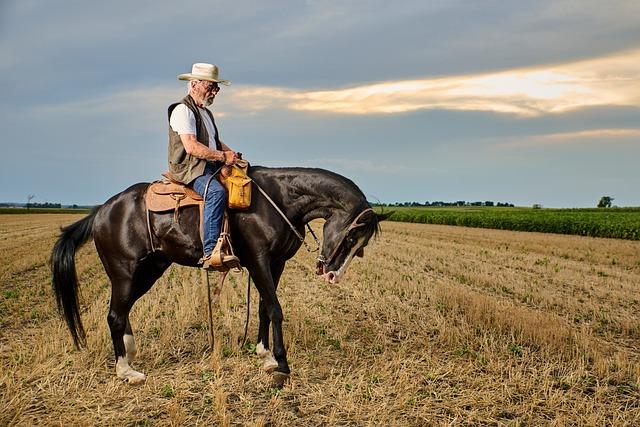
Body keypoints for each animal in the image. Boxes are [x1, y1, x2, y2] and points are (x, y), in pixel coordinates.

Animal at [50, 166, 388, 384]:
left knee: (123, 310)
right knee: (114, 315)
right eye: (350, 236)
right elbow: (276, 308)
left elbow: (264, 307)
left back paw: (130, 354)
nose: (332, 275)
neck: (279, 200)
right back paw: (125, 371)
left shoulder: (276, 263)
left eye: (361, 246)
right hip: (125, 272)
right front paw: (281, 364)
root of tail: (101, 211)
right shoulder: (258, 260)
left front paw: (264, 354)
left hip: (150, 269)